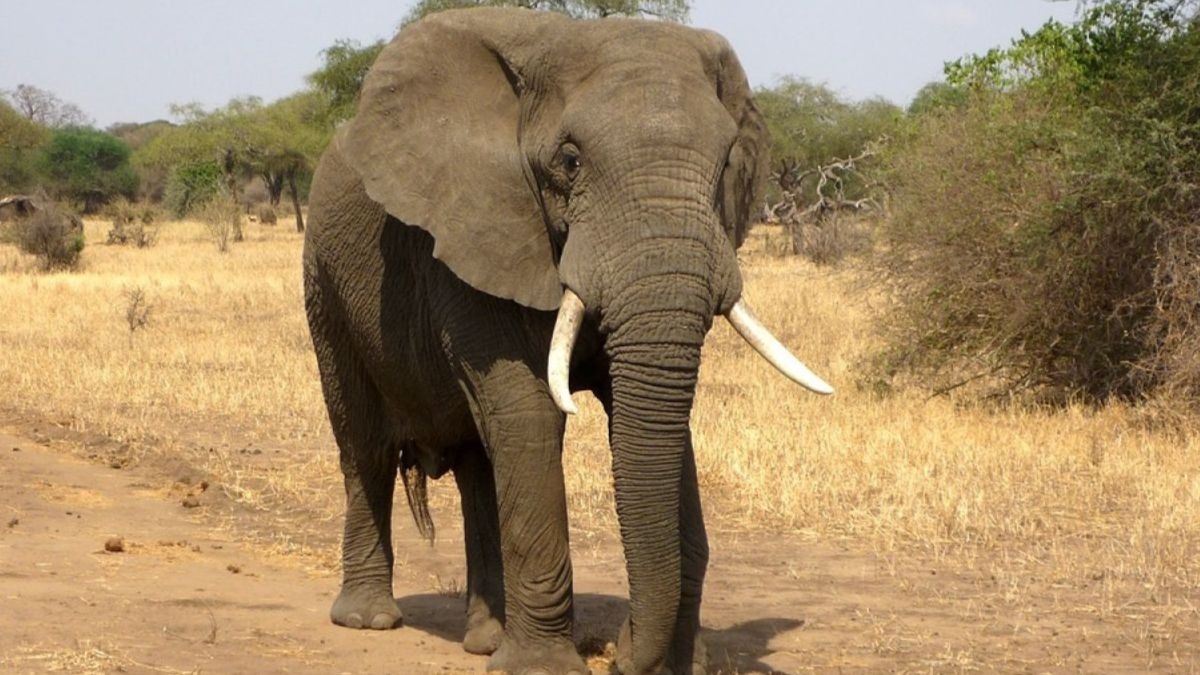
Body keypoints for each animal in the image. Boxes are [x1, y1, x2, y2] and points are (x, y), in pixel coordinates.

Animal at [304, 6, 830, 672]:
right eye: (571, 161)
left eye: (726, 166)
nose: (623, 655)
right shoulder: (475, 231)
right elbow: (529, 412)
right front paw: (542, 667)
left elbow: (649, 419)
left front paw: (678, 663)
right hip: (324, 283)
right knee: (365, 447)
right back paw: (370, 620)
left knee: (478, 463)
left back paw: (485, 638)